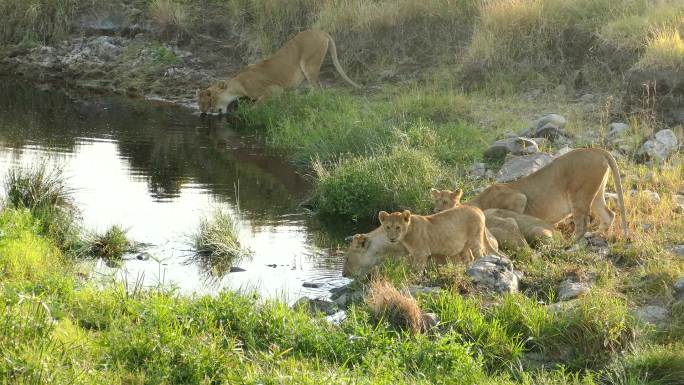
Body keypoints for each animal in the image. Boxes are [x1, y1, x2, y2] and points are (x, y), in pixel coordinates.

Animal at [196, 28, 360, 113]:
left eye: (212, 99)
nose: (207, 112)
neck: (238, 85)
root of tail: (321, 31)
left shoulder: (274, 89)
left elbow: (259, 103)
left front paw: (249, 110)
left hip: (309, 64)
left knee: (318, 89)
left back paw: (302, 99)